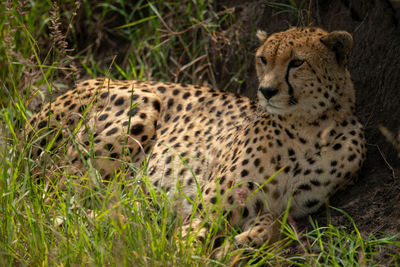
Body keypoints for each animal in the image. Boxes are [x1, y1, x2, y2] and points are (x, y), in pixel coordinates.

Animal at [26, 28, 366, 252]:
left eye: (297, 62)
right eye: (262, 59)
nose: (266, 91)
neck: (308, 128)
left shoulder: (281, 208)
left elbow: (273, 222)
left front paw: (247, 241)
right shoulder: (209, 204)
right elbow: (188, 243)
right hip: (142, 102)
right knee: (51, 201)